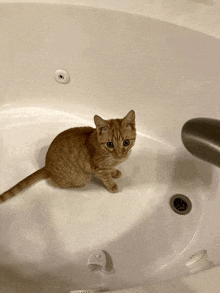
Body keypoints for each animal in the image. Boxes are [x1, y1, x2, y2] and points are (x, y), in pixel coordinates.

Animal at [0, 110, 136, 203]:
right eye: (110, 144)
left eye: (126, 142)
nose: (120, 154)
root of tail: (46, 167)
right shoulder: (99, 168)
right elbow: (106, 177)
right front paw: (112, 185)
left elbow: (110, 169)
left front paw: (114, 172)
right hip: (81, 178)